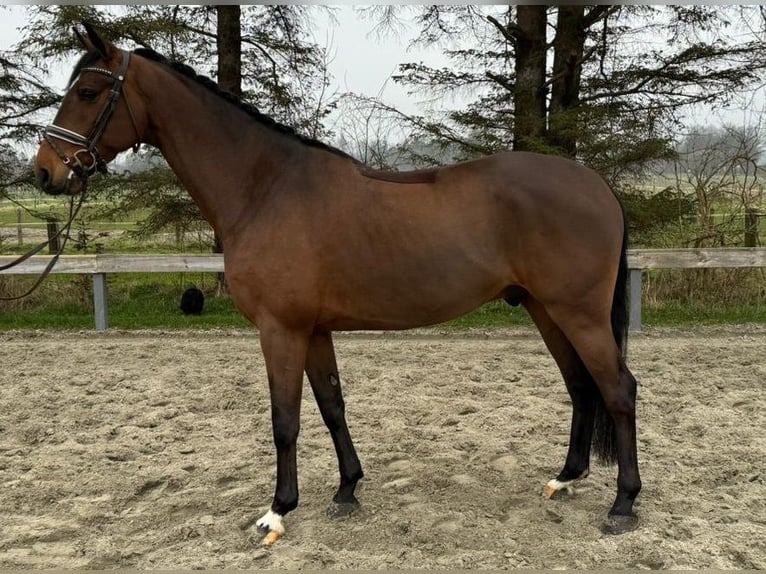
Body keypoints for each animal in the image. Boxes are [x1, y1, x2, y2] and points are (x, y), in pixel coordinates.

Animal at [33, 23, 640, 544]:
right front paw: (347, 490)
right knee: (581, 385)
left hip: (577, 312)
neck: (265, 188)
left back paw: (624, 504)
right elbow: (331, 405)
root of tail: (596, 185)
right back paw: (566, 478)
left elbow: (285, 419)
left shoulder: (281, 329)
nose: (44, 172)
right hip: (544, 308)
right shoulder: (315, 329)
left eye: (88, 91)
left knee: (618, 390)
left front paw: (277, 512)